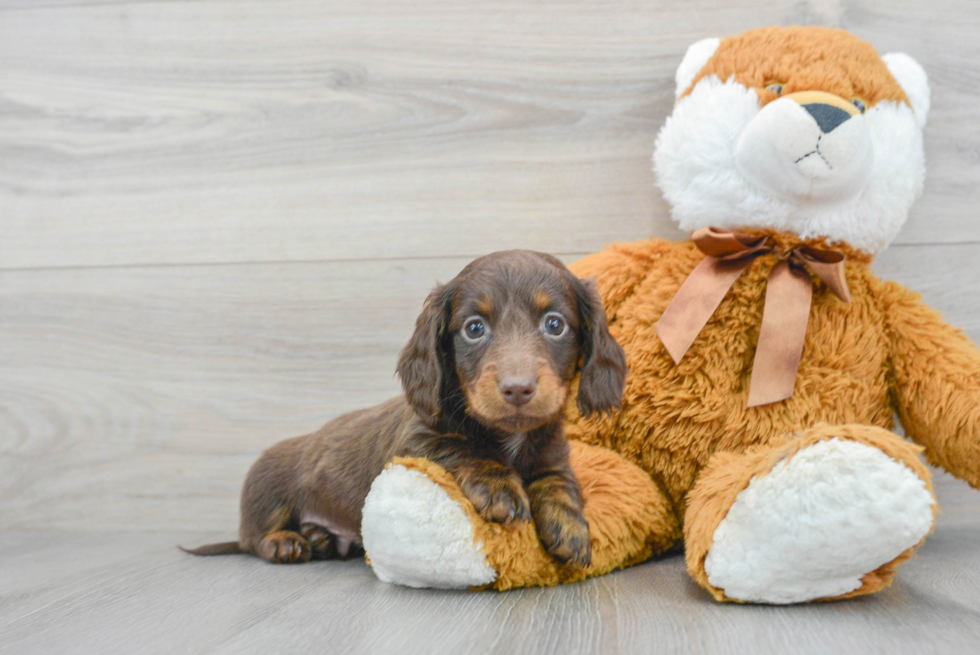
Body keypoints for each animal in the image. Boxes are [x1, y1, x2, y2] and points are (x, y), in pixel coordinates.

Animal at [182, 249, 628, 568]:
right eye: (474, 328)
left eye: (555, 324)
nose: (517, 389)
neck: (508, 433)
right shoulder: (414, 443)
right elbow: (463, 448)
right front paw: (500, 485)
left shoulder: (553, 454)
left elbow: (558, 482)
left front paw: (570, 525)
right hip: (266, 489)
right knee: (252, 537)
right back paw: (286, 542)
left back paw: (318, 538)